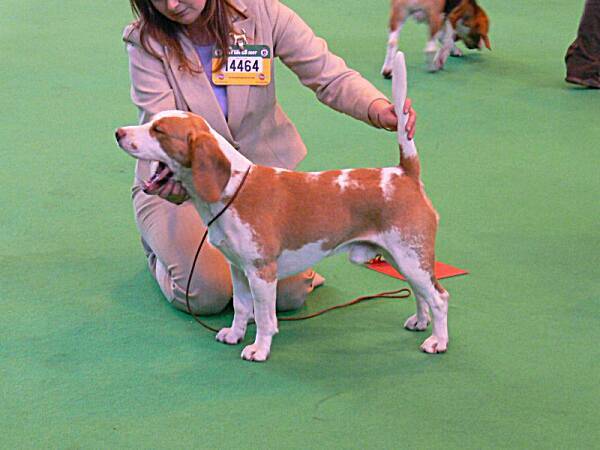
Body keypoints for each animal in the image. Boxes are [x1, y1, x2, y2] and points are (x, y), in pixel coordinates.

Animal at [115, 52, 448, 362]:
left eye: (159, 131)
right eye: (151, 122)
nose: (119, 133)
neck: (232, 190)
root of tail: (404, 172)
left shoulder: (261, 273)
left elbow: (264, 318)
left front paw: (258, 349)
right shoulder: (238, 268)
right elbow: (241, 307)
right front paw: (234, 334)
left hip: (410, 258)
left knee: (439, 297)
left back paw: (437, 341)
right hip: (402, 258)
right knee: (422, 295)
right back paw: (420, 322)